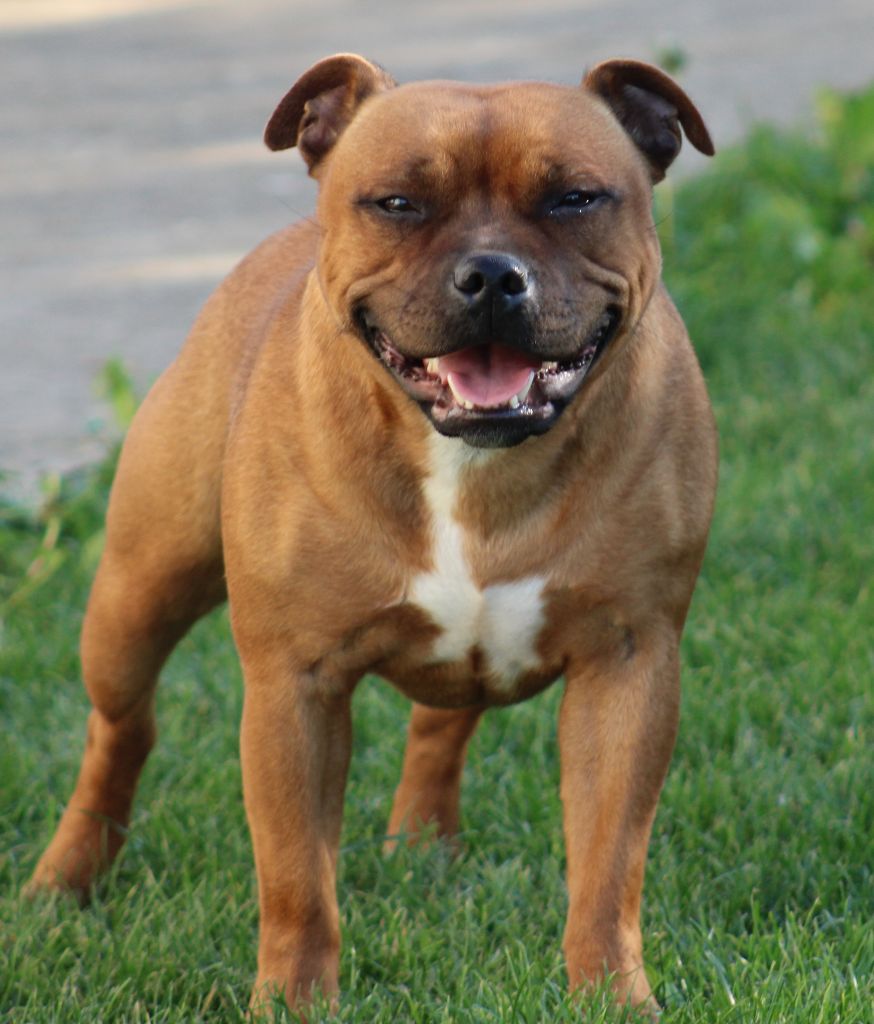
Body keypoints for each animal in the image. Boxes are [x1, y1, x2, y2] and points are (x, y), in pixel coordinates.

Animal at [32, 56, 720, 1015]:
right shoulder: (295, 686)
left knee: (442, 721)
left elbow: (609, 866)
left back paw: (423, 846)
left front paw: (611, 998)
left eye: (575, 199)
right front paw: (292, 1004)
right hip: (140, 594)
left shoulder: (628, 664)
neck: (468, 460)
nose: (492, 275)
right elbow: (296, 879)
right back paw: (65, 879)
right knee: (120, 730)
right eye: (397, 203)